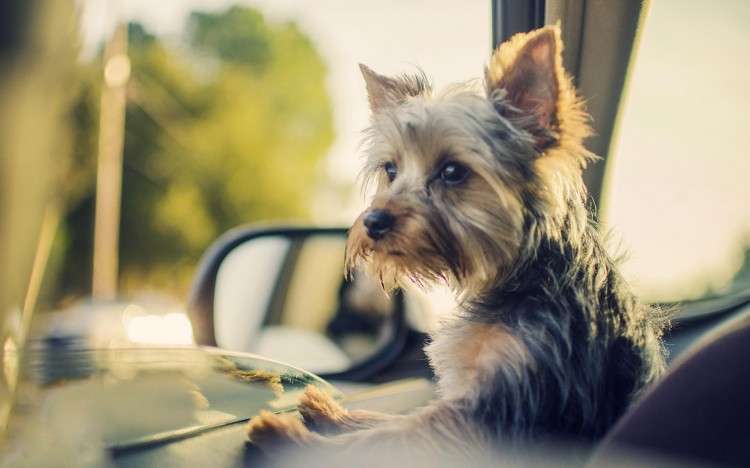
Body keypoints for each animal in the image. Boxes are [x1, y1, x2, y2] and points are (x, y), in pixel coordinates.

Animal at [247, 25, 668, 460]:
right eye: (391, 170)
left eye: (452, 172)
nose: (372, 221)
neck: (527, 271)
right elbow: (389, 422)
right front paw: (330, 411)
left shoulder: (499, 404)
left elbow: (393, 436)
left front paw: (286, 438)